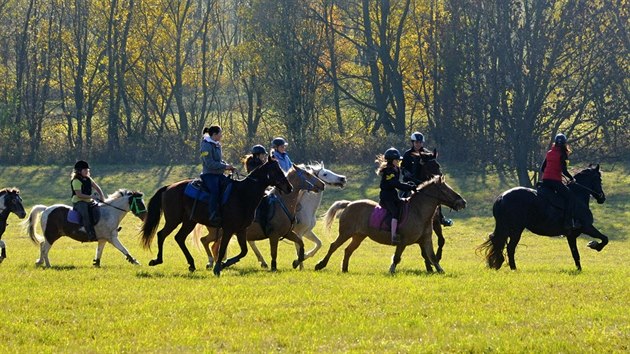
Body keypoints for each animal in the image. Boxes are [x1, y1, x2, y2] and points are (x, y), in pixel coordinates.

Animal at [139, 156, 292, 276]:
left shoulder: (241, 229)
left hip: (189, 221)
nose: (289, 187)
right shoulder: (229, 229)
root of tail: (168, 187)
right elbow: (223, 248)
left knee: (179, 238)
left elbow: (244, 251)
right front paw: (218, 267)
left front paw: (224, 264)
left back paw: (191, 264)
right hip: (173, 220)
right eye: (276, 170)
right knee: (161, 235)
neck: (242, 194)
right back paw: (157, 260)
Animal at [199, 163, 328, 272]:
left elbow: (302, 245)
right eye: (307, 174)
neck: (283, 203)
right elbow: (275, 253)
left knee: (208, 242)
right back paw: (213, 262)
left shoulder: (289, 233)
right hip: (220, 232)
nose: (322, 184)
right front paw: (279, 266)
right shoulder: (275, 235)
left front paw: (297, 262)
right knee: (206, 241)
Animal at [316, 177, 470, 274]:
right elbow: (397, 257)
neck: (418, 212)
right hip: (345, 233)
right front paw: (391, 270)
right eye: (446, 190)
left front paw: (440, 270)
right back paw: (320, 265)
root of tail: (349, 204)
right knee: (334, 246)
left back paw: (345, 269)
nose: (463, 202)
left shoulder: (425, 240)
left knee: (348, 250)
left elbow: (432, 257)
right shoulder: (403, 241)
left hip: (359, 236)